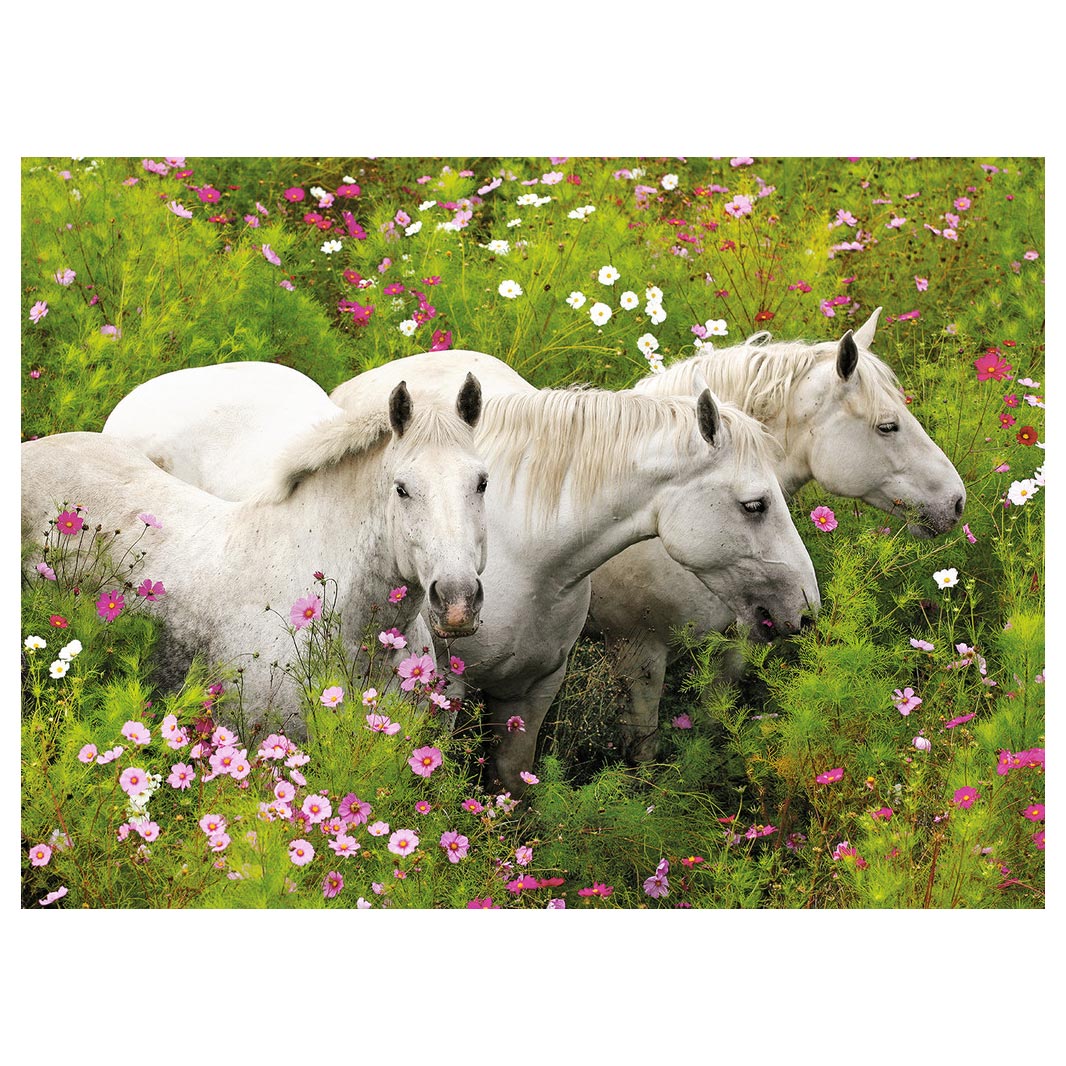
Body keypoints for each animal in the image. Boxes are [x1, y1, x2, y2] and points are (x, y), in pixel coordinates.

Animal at [100, 353, 820, 796]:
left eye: (483, 483)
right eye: (755, 504)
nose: (806, 608)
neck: (531, 555)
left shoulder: (533, 690)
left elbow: (510, 785)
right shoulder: (445, 694)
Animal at [585, 307, 968, 761]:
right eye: (888, 426)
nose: (956, 502)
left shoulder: (732, 646)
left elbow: (715, 722)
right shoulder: (638, 657)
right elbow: (643, 753)